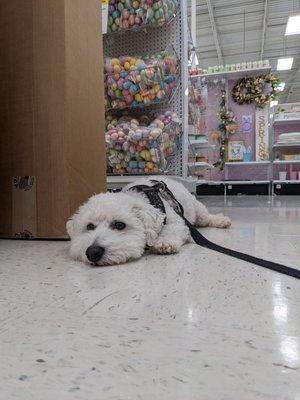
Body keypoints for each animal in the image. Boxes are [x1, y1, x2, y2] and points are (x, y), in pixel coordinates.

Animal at [67, 177, 230, 266]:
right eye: (89, 226)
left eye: (119, 225)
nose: (92, 252)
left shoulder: (177, 222)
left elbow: (172, 230)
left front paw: (164, 243)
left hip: (196, 208)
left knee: (206, 217)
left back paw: (221, 220)